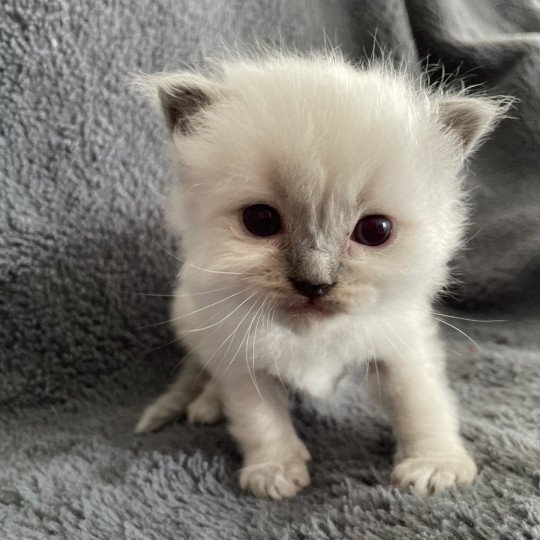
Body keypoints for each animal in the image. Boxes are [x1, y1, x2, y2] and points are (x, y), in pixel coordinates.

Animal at [135, 52, 510, 500]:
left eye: (376, 230)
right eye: (260, 221)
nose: (314, 283)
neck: (311, 338)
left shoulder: (401, 344)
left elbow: (421, 402)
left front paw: (435, 466)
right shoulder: (241, 358)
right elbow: (260, 420)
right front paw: (275, 472)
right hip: (194, 319)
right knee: (202, 370)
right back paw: (208, 406)